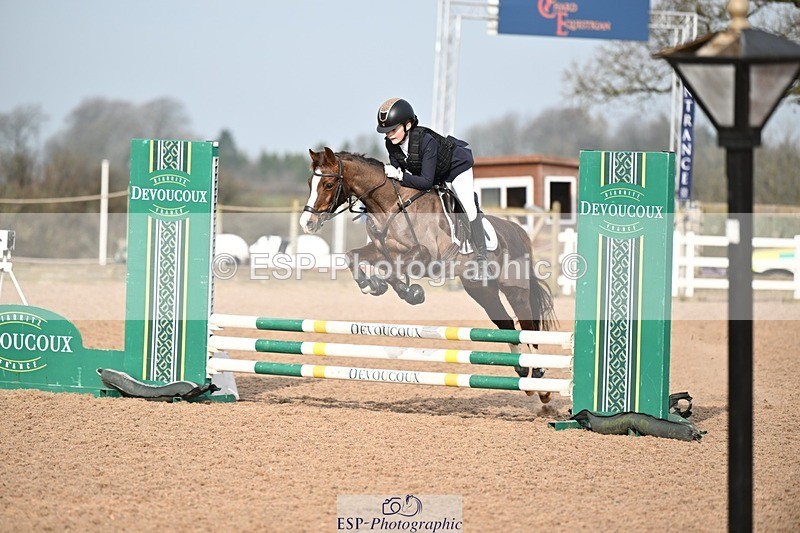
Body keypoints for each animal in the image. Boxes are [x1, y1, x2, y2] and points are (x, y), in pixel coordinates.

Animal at [300, 147, 558, 402]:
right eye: (310, 183)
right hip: (482, 291)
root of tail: (516, 231)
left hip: (515, 291)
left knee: (529, 327)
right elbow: (353, 256)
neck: (390, 206)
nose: (307, 223)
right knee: (507, 325)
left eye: (329, 185)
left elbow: (394, 269)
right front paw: (371, 285)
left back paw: (539, 375)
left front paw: (409, 292)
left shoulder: (425, 257)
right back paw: (522, 370)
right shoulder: (380, 250)